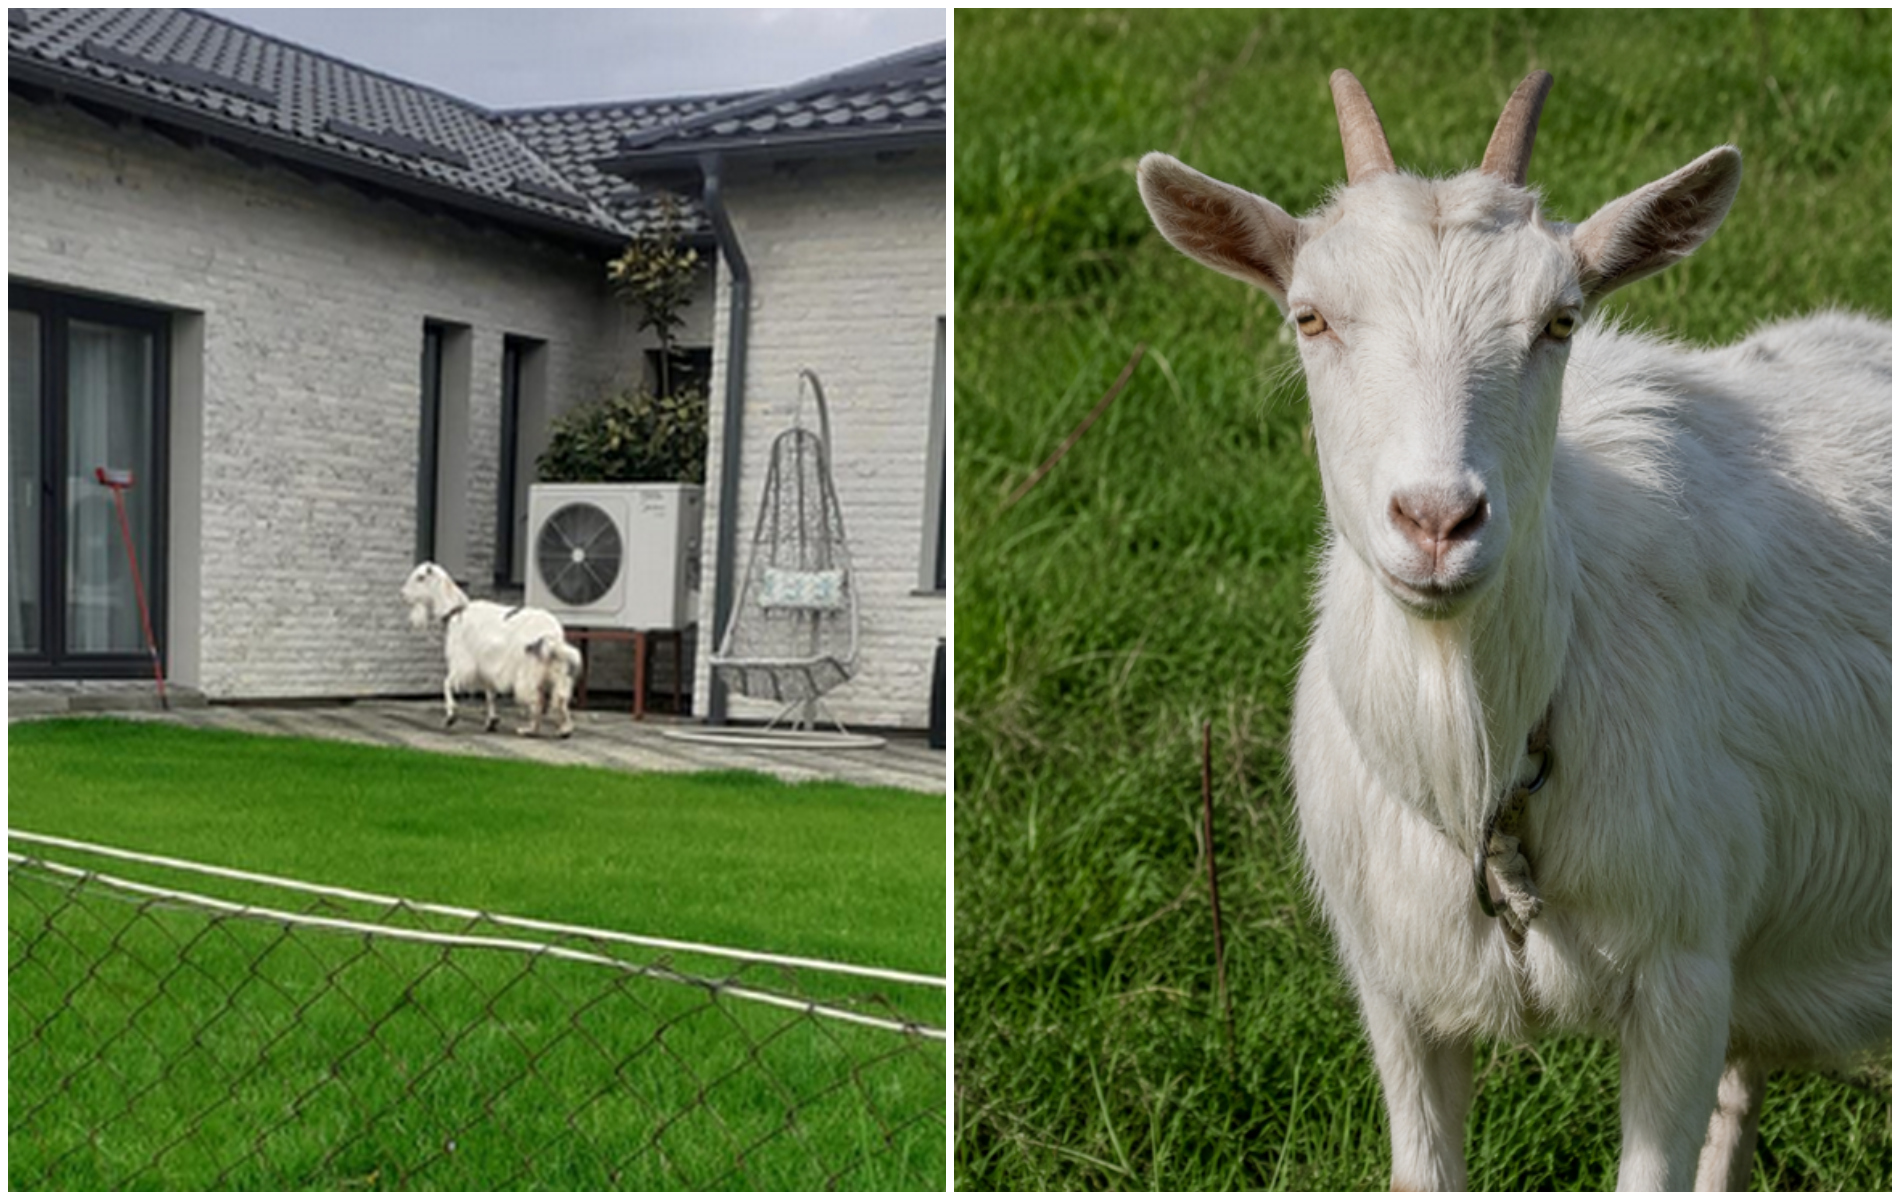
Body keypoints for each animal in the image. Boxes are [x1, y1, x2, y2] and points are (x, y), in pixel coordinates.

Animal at [401, 562, 583, 738]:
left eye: (420, 577)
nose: (403, 594)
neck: (456, 613)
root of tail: (551, 635)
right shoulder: (486, 667)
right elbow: (490, 694)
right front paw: (492, 721)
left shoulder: (464, 664)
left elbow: (447, 683)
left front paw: (451, 716)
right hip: (558, 671)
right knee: (560, 699)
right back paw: (564, 730)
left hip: (528, 672)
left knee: (536, 699)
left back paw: (529, 730)